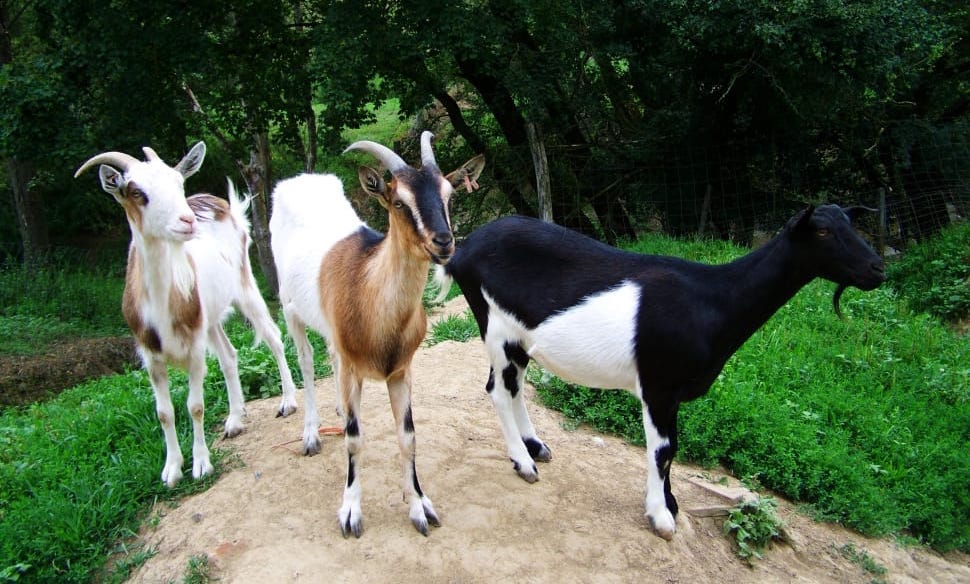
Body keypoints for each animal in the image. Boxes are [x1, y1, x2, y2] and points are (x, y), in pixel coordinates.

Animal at [74, 143, 298, 487]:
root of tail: (220, 203)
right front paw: (172, 469)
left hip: (244, 285)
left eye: (178, 183)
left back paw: (287, 401)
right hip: (210, 317)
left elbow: (195, 406)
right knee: (229, 355)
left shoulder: (193, 348)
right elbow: (164, 412)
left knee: (272, 337)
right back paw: (235, 419)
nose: (187, 221)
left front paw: (201, 464)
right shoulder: (151, 356)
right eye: (137, 192)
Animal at [269, 131, 484, 537]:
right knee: (306, 361)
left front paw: (419, 505)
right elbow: (355, 439)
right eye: (399, 201)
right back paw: (311, 434)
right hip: (289, 308)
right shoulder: (355, 368)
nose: (443, 242)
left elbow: (408, 436)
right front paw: (350, 511)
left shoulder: (401, 371)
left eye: (449, 195)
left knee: (330, 357)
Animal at [435, 205, 885, 539]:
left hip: (521, 339)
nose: (877, 268)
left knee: (513, 386)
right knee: (498, 388)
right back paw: (522, 463)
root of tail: (465, 250)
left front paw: (671, 504)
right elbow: (663, 450)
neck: (711, 300)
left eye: (851, 224)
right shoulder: (659, 386)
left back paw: (536, 448)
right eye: (823, 232)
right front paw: (661, 516)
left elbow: (674, 449)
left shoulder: (673, 393)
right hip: (495, 327)